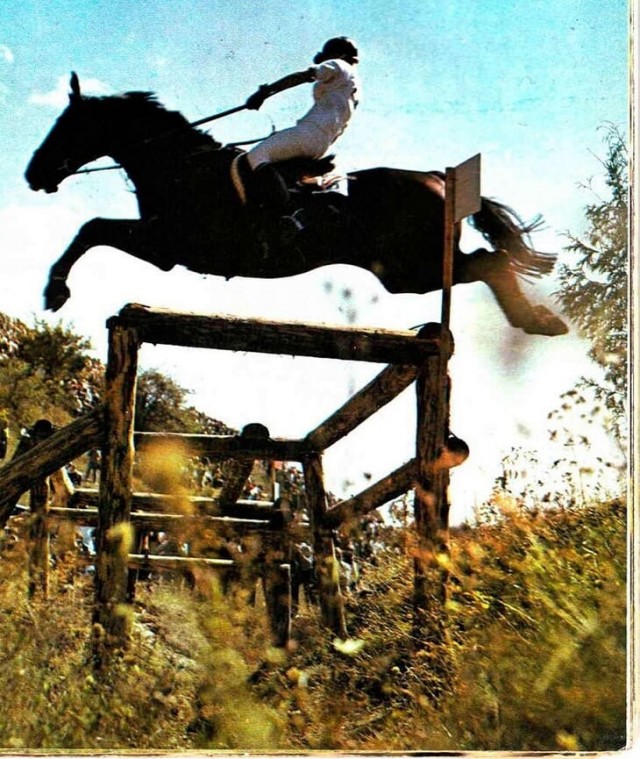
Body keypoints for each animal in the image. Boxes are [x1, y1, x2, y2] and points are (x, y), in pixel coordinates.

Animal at [25, 73, 567, 337]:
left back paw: (537, 322)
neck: (181, 165)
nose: (33, 174)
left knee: (489, 262)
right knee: (486, 262)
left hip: (411, 270)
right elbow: (94, 228)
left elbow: (93, 228)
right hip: (406, 271)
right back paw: (537, 321)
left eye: (67, 128)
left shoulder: (166, 244)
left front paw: (56, 290)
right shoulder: (163, 244)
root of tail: (438, 178)